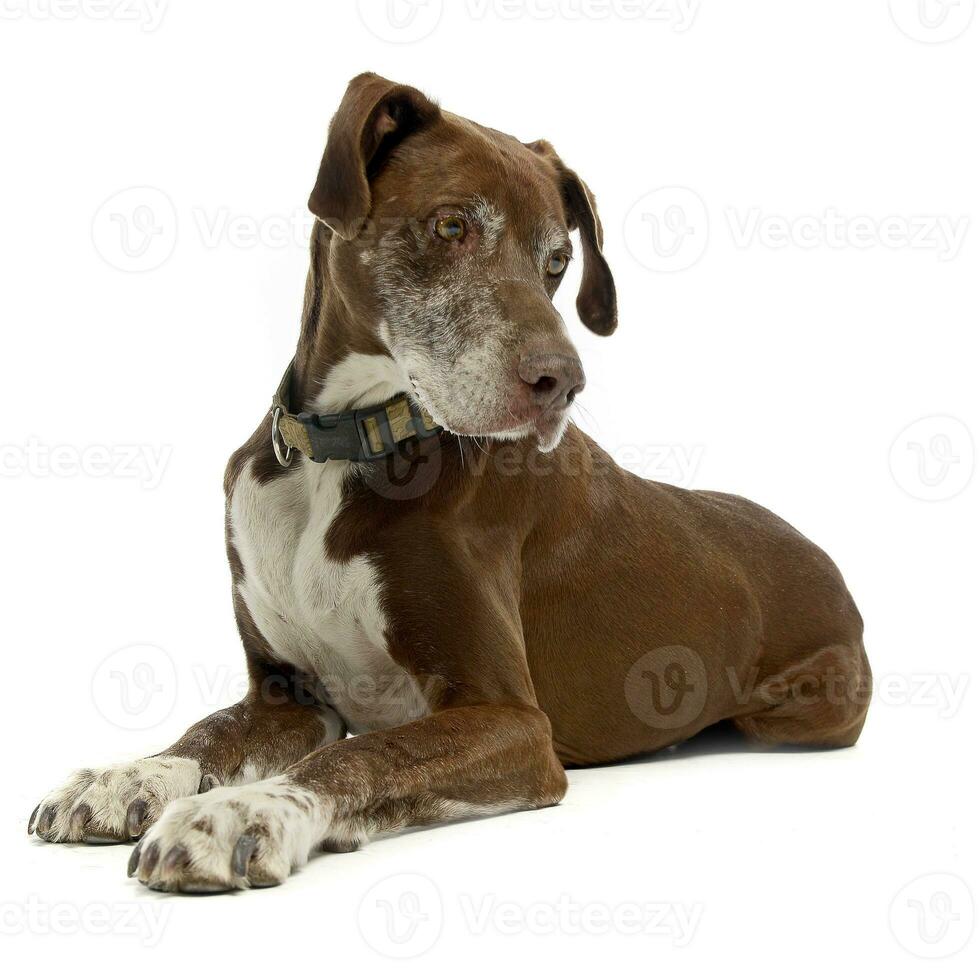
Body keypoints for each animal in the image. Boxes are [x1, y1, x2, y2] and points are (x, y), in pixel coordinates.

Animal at [30, 72, 872, 892]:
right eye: (451, 227)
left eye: (557, 263)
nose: (562, 383)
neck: (341, 449)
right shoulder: (285, 696)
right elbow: (212, 730)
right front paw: (127, 775)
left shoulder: (512, 720)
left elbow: (362, 754)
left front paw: (240, 812)